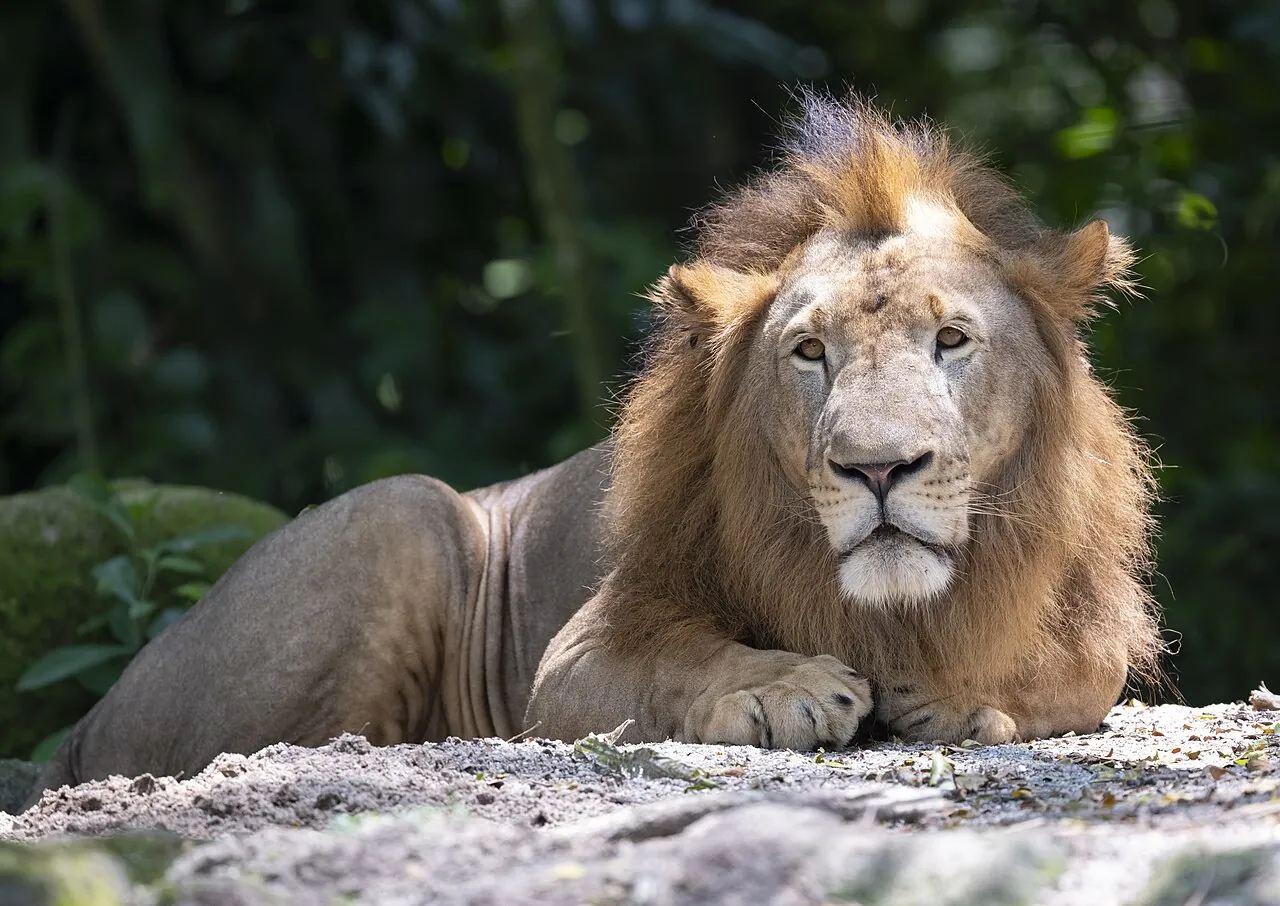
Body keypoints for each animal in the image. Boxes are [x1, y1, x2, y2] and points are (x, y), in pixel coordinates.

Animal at [29, 92, 1160, 805]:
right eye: (809, 353)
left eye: (952, 340)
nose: (876, 470)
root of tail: (79, 727)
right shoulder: (574, 665)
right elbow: (682, 662)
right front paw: (780, 686)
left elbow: (1086, 667)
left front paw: (961, 693)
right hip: (409, 512)